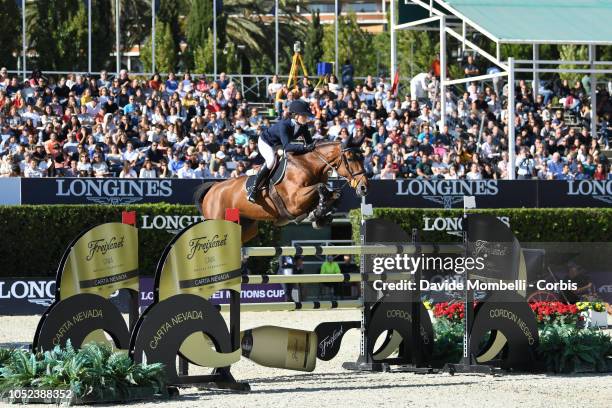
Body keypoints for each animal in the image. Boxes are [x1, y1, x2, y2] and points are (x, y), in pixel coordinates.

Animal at [196, 140, 368, 242]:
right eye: (351, 159)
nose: (364, 187)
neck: (308, 165)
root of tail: (213, 188)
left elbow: (333, 194)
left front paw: (320, 215)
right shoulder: (294, 202)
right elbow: (320, 187)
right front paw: (318, 212)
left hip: (247, 228)